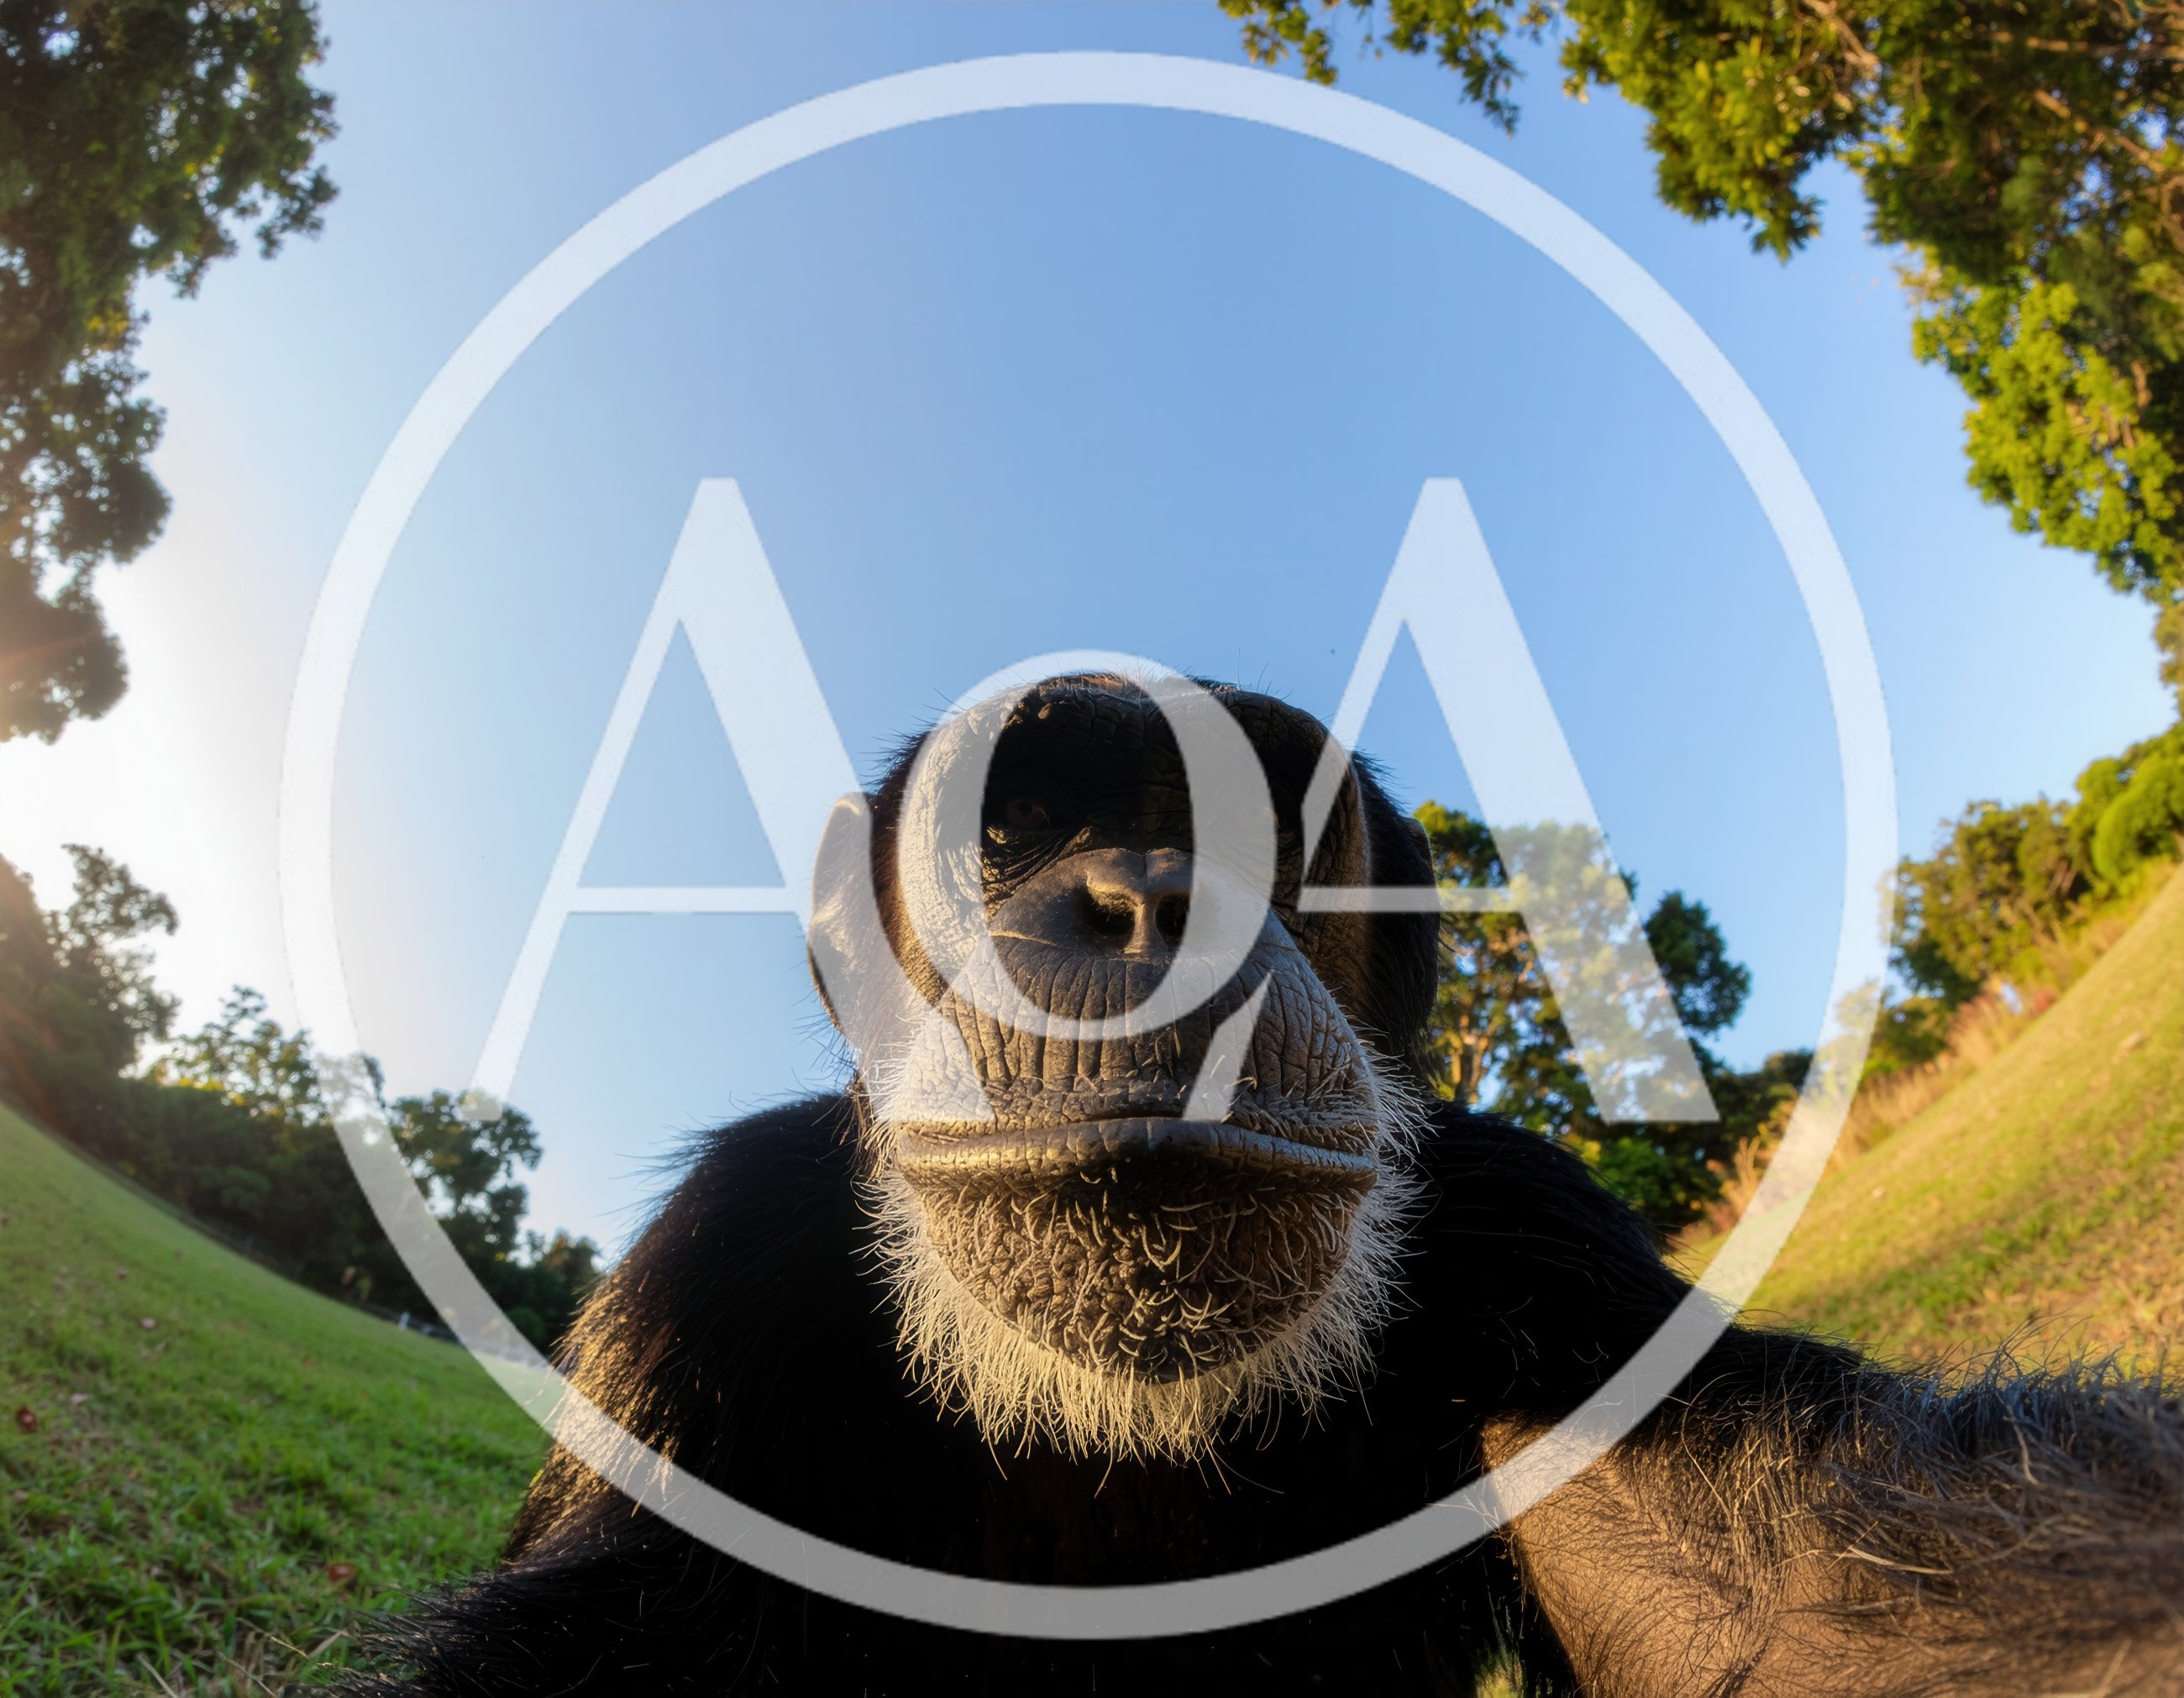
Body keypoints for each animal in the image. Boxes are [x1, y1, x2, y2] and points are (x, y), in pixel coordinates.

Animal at [349, 676, 2184, 1696]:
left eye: (1258, 830)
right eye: (1009, 831)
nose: (1144, 893)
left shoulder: (1535, 1248)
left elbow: (1806, 1592)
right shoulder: (706, 1289)